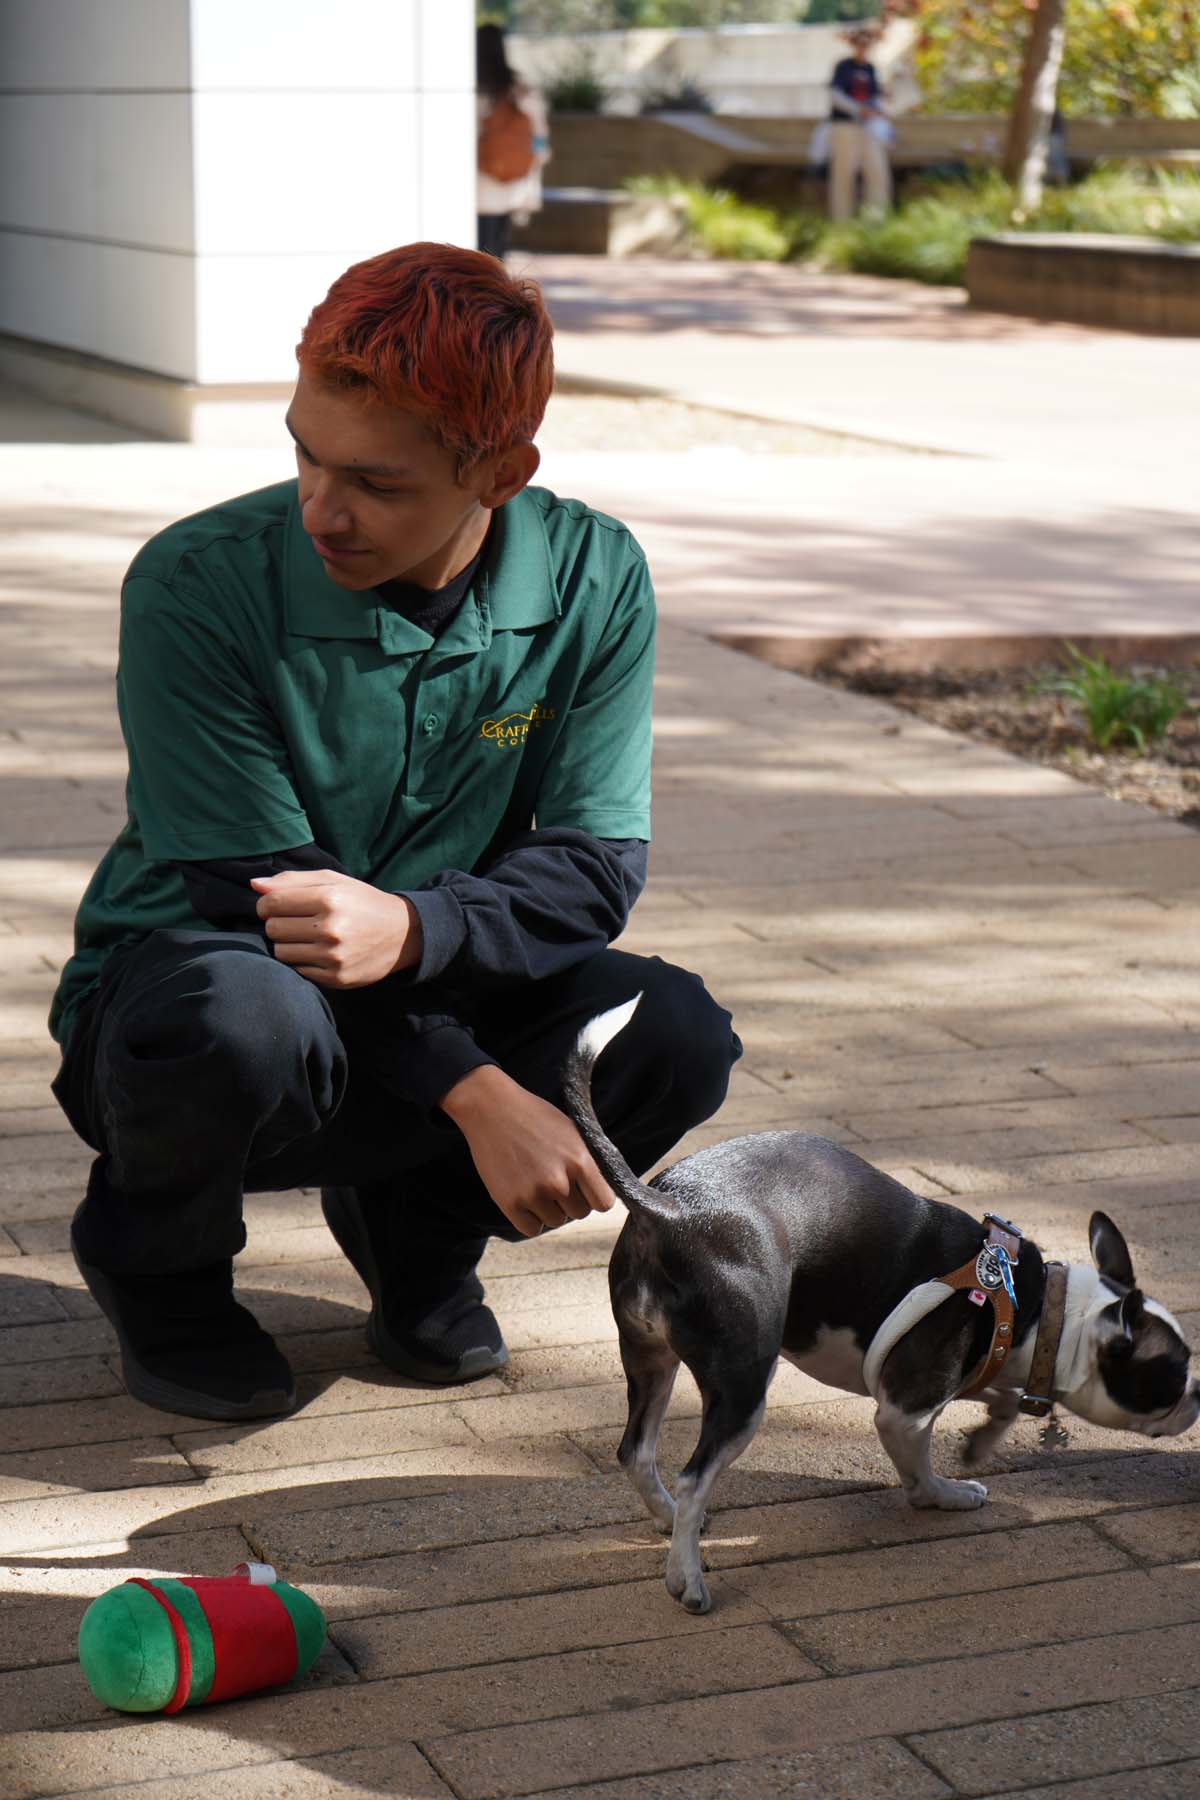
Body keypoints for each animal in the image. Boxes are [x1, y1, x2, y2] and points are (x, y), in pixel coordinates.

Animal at [564, 1000, 1200, 1620]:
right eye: (1172, 1376)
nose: (1197, 1396)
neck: (1040, 1311)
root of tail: (670, 1207)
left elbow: (998, 1396)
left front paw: (982, 1440)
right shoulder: (904, 1411)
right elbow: (919, 1467)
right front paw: (945, 1495)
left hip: (651, 1360)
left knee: (636, 1451)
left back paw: (671, 1521)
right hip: (743, 1385)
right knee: (694, 1476)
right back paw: (687, 1578)